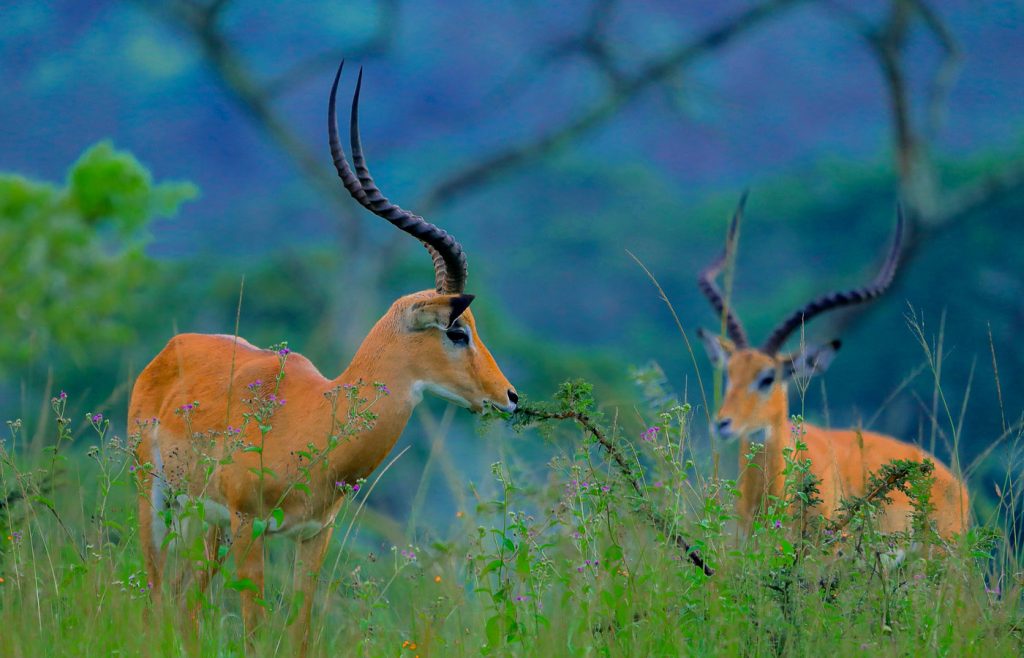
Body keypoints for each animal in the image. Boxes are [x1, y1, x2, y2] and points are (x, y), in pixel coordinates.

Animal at [128, 61, 516, 646]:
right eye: (457, 331)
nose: (509, 396)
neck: (319, 415)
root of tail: (172, 349)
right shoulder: (249, 527)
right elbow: (254, 631)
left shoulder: (314, 537)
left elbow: (301, 630)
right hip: (157, 500)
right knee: (156, 597)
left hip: (206, 526)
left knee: (185, 604)